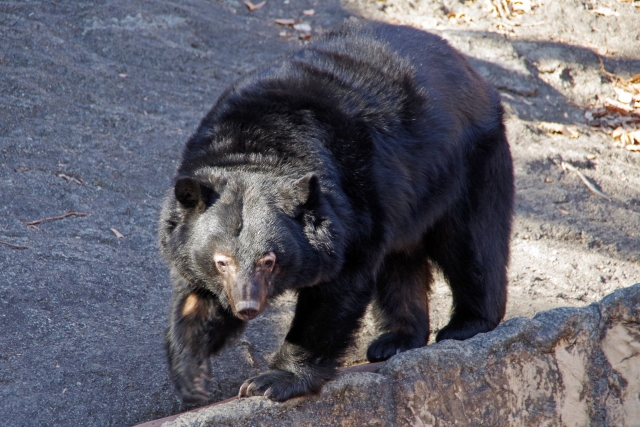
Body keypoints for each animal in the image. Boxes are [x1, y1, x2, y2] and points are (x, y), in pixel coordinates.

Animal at [159, 21, 516, 404]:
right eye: (221, 261)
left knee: (470, 243)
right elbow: (196, 299)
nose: (247, 306)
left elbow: (337, 288)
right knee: (399, 263)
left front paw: (273, 380)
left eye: (269, 260)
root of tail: (470, 69)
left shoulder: (354, 198)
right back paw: (396, 340)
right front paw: (192, 376)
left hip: (466, 163)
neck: (254, 145)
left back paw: (466, 324)